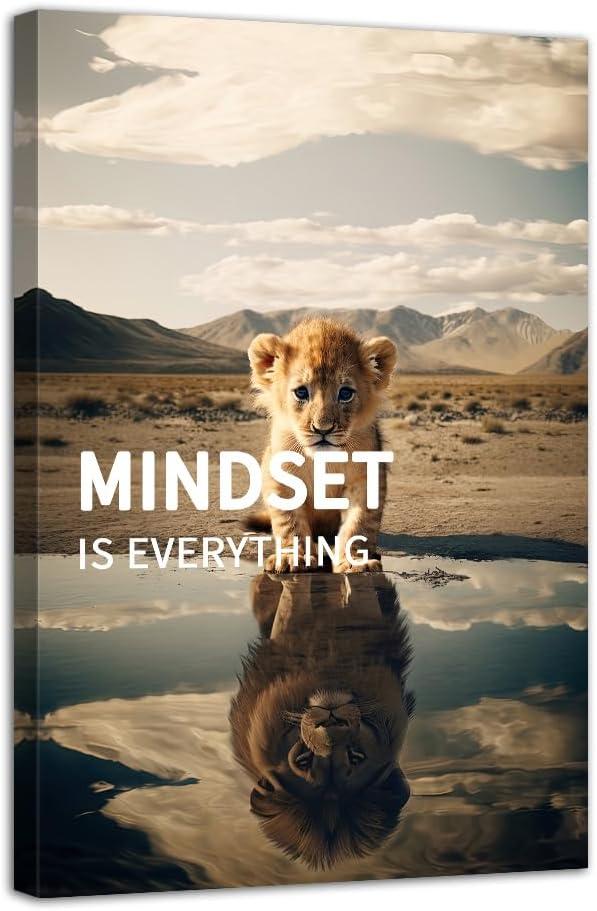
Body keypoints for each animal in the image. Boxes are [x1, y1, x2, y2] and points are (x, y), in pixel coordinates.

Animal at [247, 319, 397, 573]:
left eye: (345, 393)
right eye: (301, 392)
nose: (323, 429)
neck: (324, 461)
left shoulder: (366, 478)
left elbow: (359, 524)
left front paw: (354, 562)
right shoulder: (282, 476)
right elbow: (289, 523)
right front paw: (292, 557)